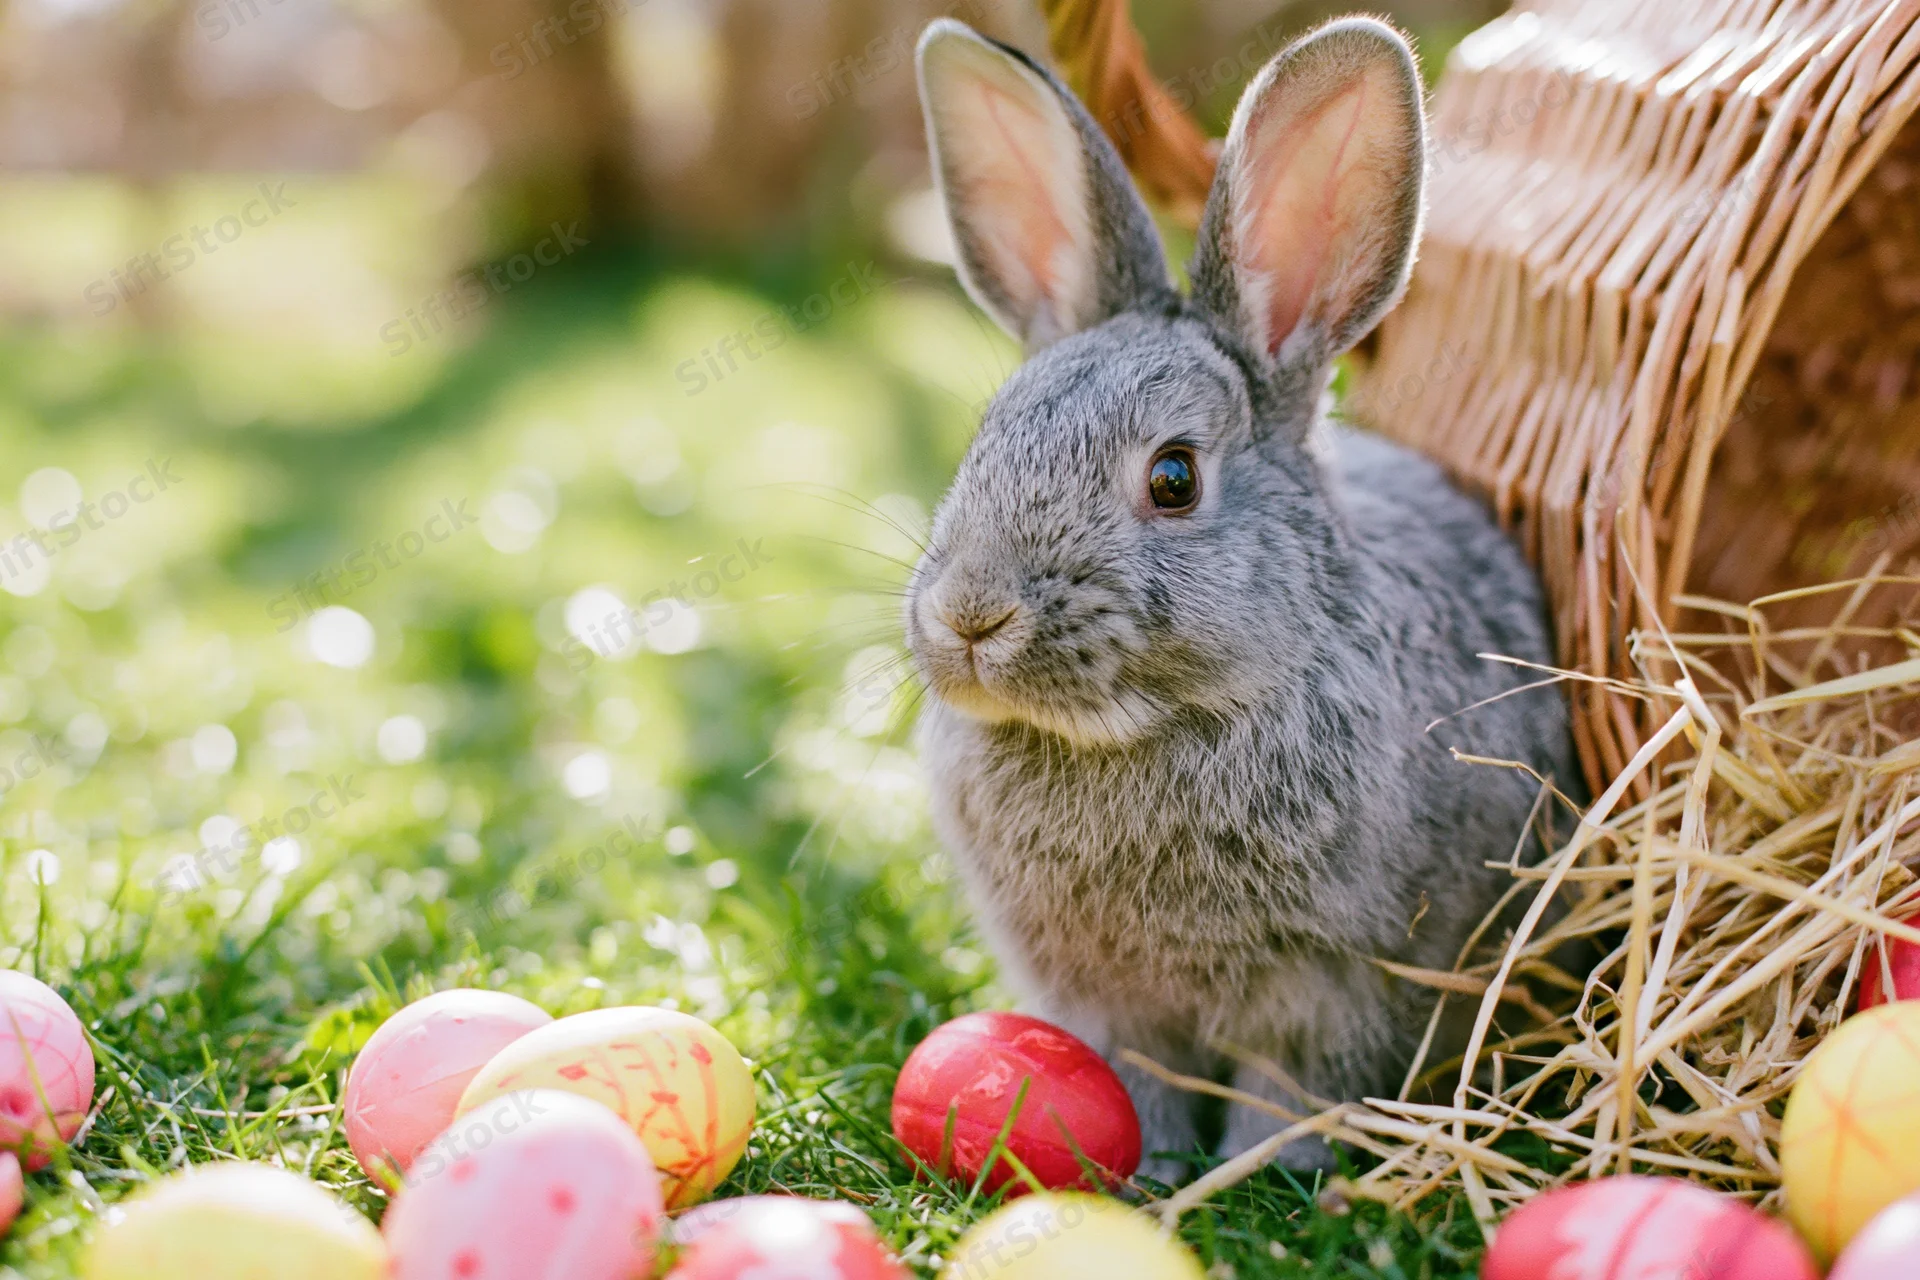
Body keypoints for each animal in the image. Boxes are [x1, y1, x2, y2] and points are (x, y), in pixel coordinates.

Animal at [901, 15, 1578, 1184]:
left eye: (1174, 478)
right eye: (982, 440)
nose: (971, 616)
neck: (1145, 731)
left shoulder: (1329, 986)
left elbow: (1284, 1087)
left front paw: (1263, 1169)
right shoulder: (1103, 1000)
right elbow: (1142, 1077)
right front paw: (1158, 1165)